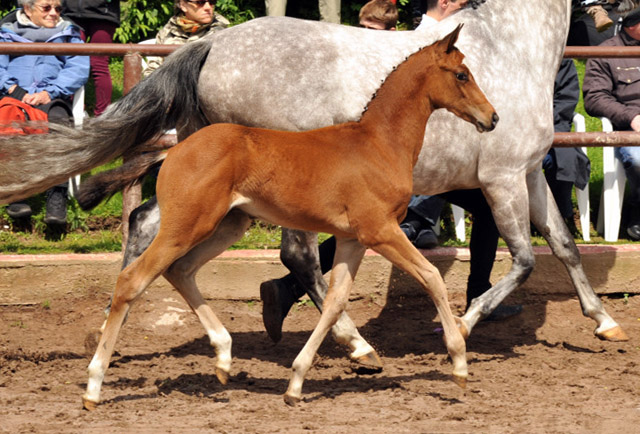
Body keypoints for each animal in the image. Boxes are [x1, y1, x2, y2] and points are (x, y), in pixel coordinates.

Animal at [82, 25, 498, 408]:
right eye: (461, 75)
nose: (492, 117)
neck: (379, 143)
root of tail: (173, 151)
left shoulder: (352, 239)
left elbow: (334, 303)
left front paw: (298, 382)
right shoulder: (380, 230)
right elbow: (431, 278)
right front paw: (459, 363)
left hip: (228, 225)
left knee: (180, 270)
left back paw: (223, 357)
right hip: (187, 226)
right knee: (133, 280)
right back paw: (94, 385)